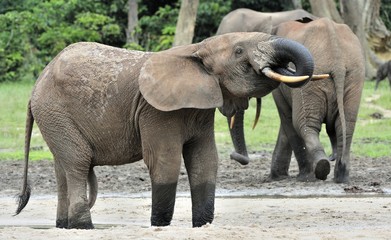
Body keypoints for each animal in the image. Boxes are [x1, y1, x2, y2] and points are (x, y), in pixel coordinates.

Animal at [15, 31, 316, 229]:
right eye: (239, 51)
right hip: (54, 111)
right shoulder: (155, 111)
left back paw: (64, 226)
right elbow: (166, 161)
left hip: (54, 117)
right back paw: (82, 226)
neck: (196, 49)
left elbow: (205, 161)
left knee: (63, 167)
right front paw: (159, 225)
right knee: (77, 162)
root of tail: (37, 83)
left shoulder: (199, 109)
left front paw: (202, 226)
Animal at [230, 17, 368, 183]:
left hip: (314, 84)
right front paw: (277, 177)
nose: (233, 156)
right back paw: (339, 177)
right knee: (345, 125)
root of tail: (337, 61)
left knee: (303, 123)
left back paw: (317, 171)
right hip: (355, 76)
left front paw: (291, 177)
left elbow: (288, 120)